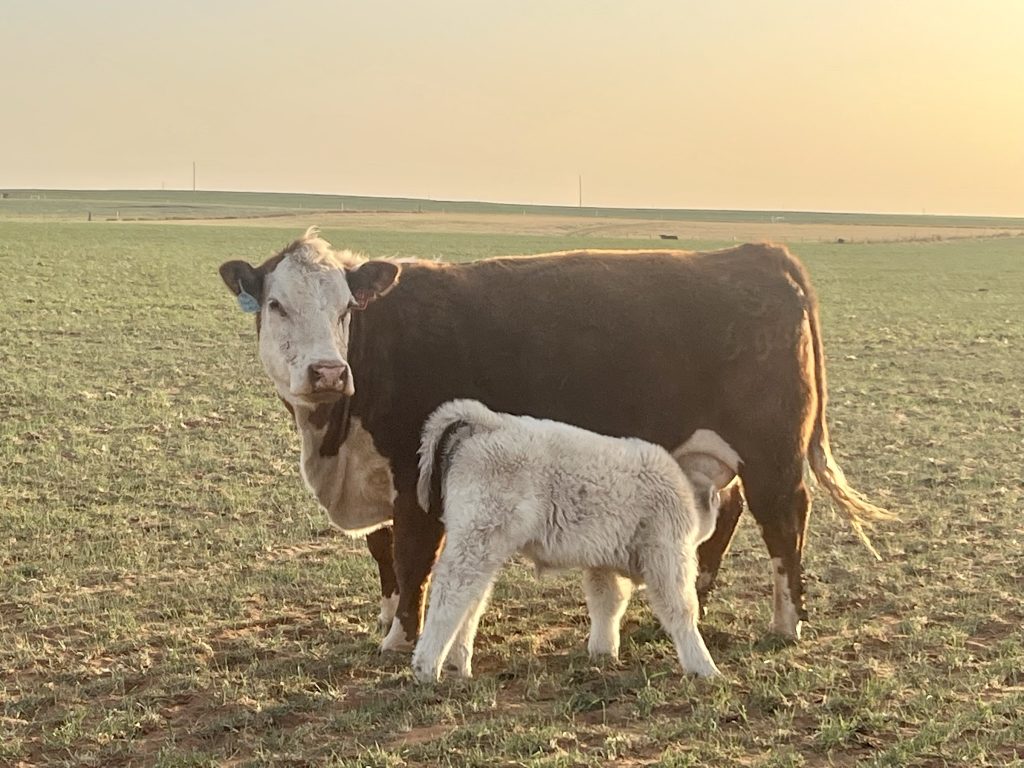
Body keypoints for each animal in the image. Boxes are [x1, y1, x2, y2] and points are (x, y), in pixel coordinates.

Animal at [217, 227, 889, 652]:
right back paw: (692, 600)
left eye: (346, 308)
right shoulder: (376, 478)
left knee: (784, 518)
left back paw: (786, 623)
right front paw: (386, 623)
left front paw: (402, 638)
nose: (328, 372)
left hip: (772, 451)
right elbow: (383, 556)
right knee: (727, 513)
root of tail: (755, 254)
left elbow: (411, 559)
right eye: (275, 305)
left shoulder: (416, 482)